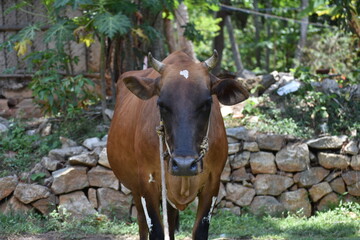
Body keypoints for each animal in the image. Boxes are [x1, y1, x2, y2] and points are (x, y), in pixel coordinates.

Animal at [107, 49, 248, 239]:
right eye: (161, 104)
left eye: (207, 103)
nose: (184, 165)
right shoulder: (147, 183)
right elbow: (156, 230)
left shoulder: (213, 182)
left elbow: (199, 230)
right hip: (135, 189)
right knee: (142, 223)